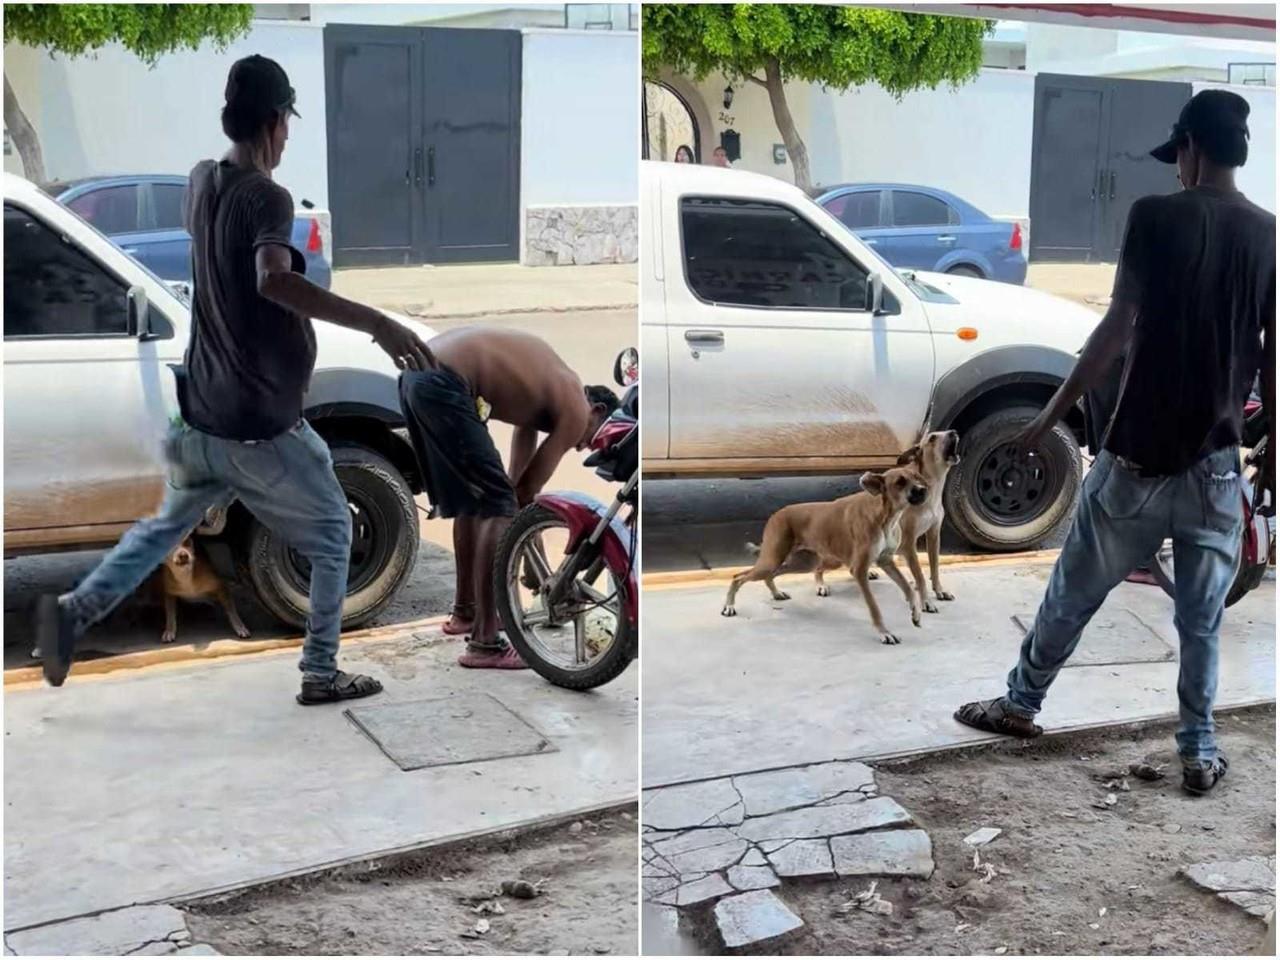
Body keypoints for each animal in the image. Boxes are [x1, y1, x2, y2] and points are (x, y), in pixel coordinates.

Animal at [721, 465, 931, 647]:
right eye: (900, 482)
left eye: (917, 477)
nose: (923, 490)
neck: (885, 515)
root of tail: (776, 514)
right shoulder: (860, 570)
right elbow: (874, 607)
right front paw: (884, 633)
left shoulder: (886, 561)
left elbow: (909, 589)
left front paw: (916, 613)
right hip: (772, 560)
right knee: (738, 576)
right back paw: (729, 606)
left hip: (805, 563)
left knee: (771, 575)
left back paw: (776, 593)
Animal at [896, 432, 962, 611]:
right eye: (932, 438)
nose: (954, 432)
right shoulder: (908, 543)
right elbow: (920, 575)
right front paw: (925, 600)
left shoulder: (933, 535)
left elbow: (935, 567)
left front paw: (939, 590)